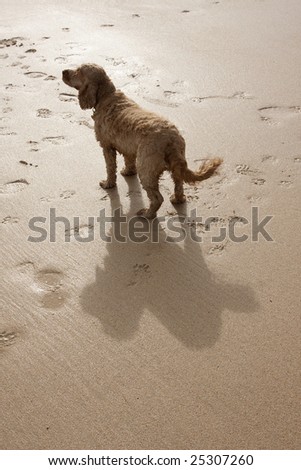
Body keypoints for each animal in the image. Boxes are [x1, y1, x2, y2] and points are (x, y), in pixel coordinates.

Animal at [61, 62, 220, 218]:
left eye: (78, 71)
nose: (63, 71)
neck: (106, 95)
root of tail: (171, 139)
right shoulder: (128, 147)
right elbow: (128, 161)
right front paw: (128, 172)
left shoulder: (107, 146)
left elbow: (110, 168)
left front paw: (108, 184)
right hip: (175, 164)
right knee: (179, 183)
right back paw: (177, 200)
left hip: (146, 168)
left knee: (157, 198)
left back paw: (147, 214)